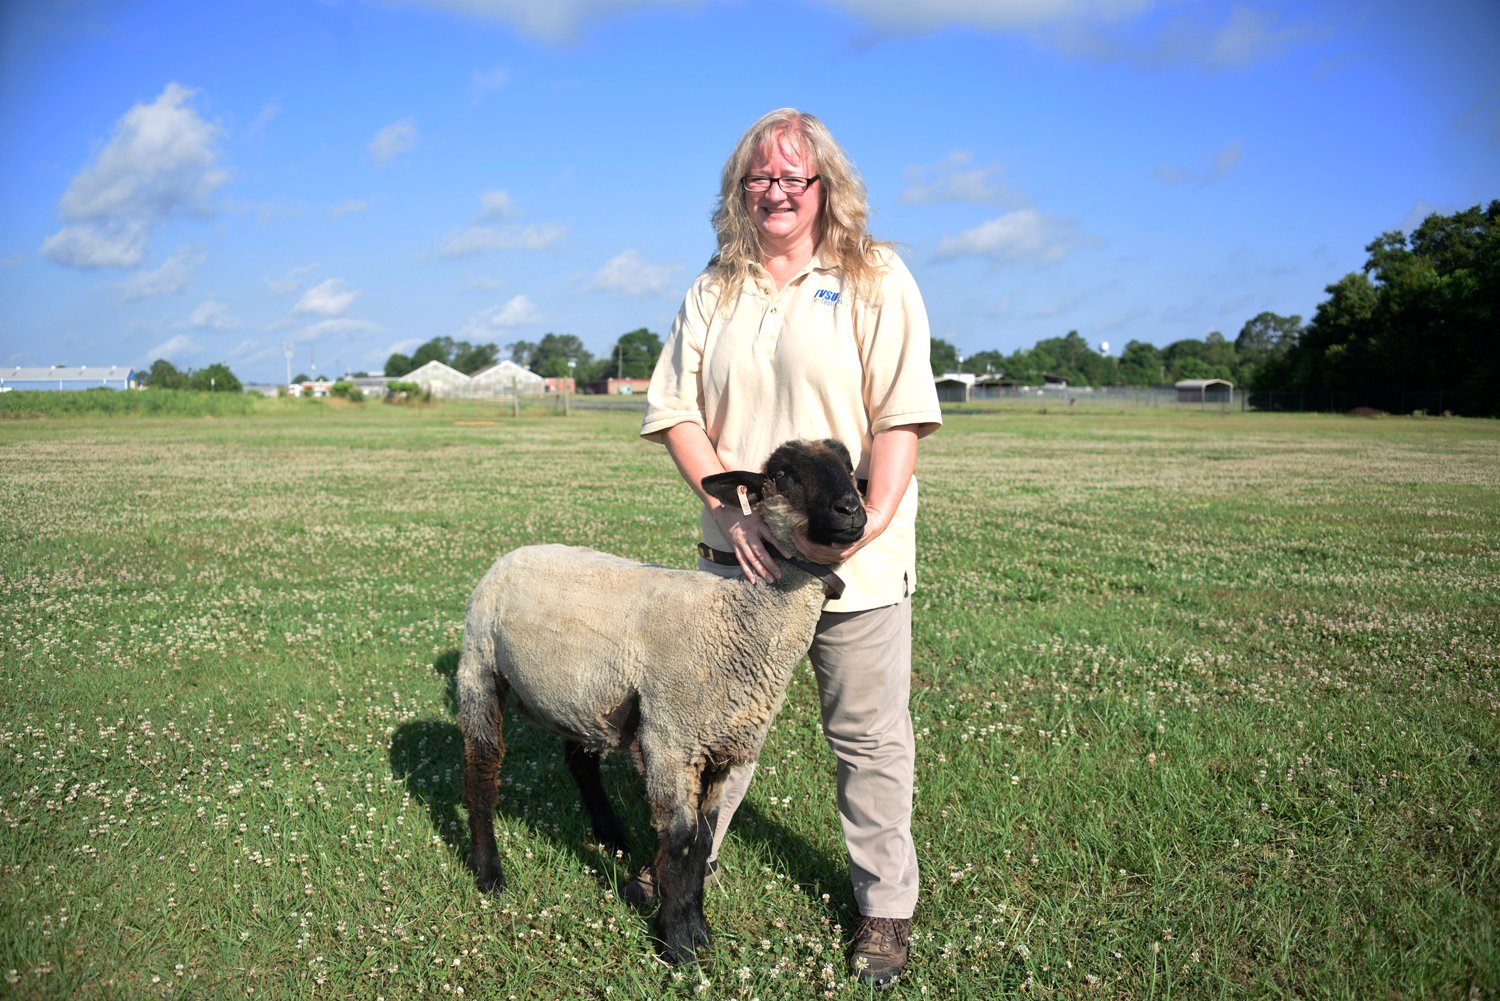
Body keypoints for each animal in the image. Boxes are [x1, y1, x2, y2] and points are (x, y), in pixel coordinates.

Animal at [459, 438, 870, 960]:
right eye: (783, 475)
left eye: (849, 467)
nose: (852, 510)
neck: (732, 620)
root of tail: (513, 553)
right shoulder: (670, 739)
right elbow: (679, 838)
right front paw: (678, 940)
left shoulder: (721, 745)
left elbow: (704, 839)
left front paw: (697, 929)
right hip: (479, 665)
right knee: (481, 768)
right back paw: (488, 871)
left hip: (582, 696)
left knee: (580, 763)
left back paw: (611, 836)